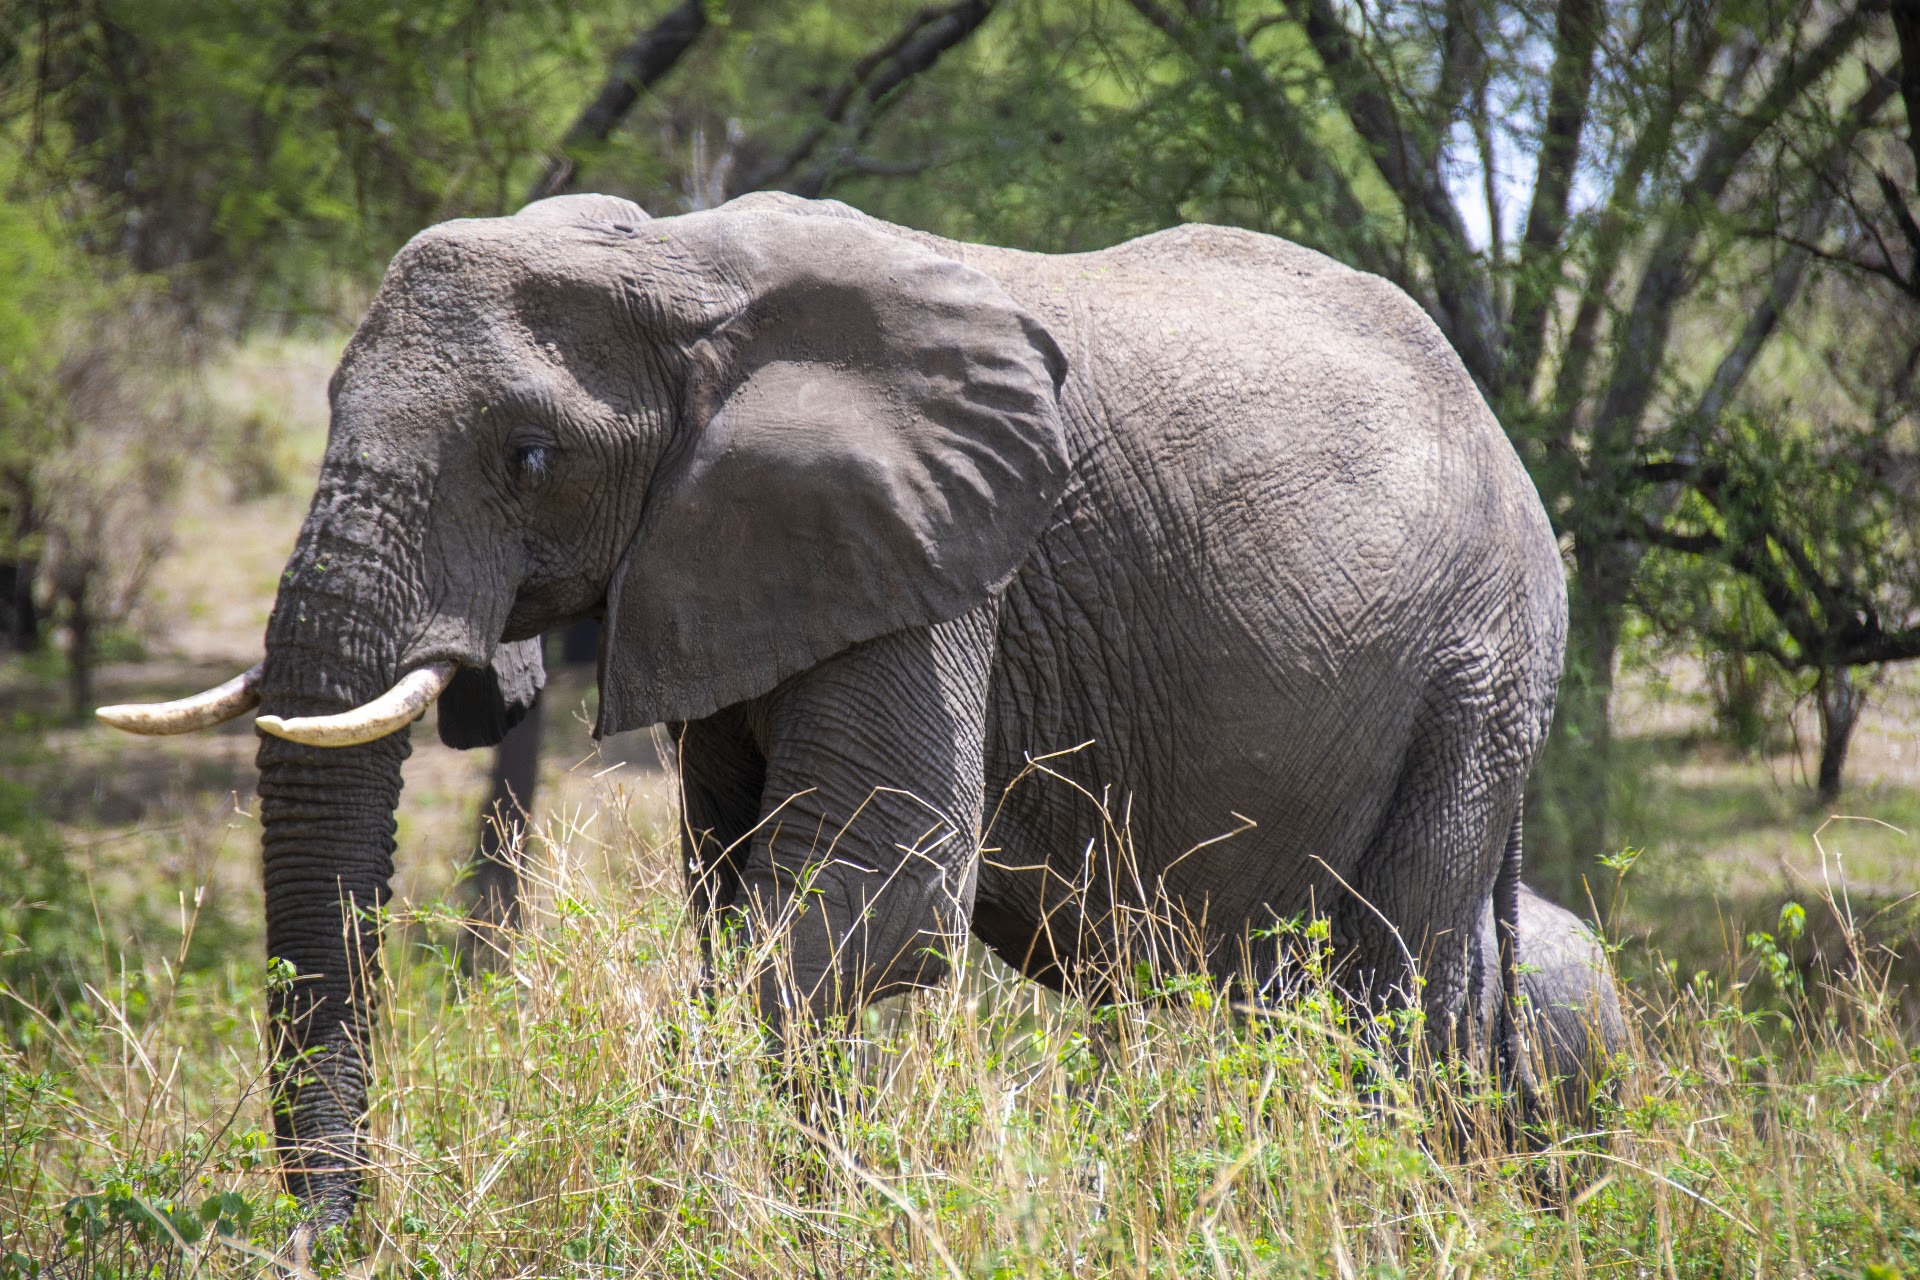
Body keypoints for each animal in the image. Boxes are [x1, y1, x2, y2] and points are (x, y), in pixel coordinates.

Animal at [98, 189, 1575, 1226]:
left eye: (527, 454)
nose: (333, 1236)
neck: (676, 262)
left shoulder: (943, 559)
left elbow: (880, 879)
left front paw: (694, 1208)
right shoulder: (738, 566)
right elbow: (732, 880)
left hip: (1483, 666)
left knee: (1390, 973)